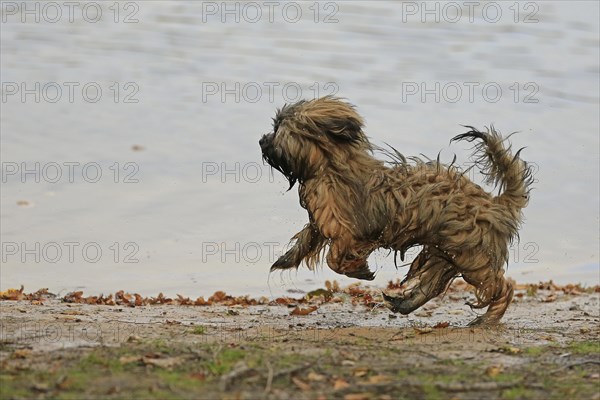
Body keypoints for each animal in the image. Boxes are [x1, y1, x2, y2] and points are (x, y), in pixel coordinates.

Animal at [260, 97, 532, 324]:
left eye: (278, 128)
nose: (262, 139)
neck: (329, 165)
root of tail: (497, 204)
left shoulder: (352, 233)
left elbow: (334, 258)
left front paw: (360, 269)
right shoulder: (322, 223)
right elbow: (307, 238)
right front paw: (285, 260)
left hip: (473, 257)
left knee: (502, 287)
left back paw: (488, 318)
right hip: (444, 250)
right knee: (432, 283)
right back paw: (404, 303)